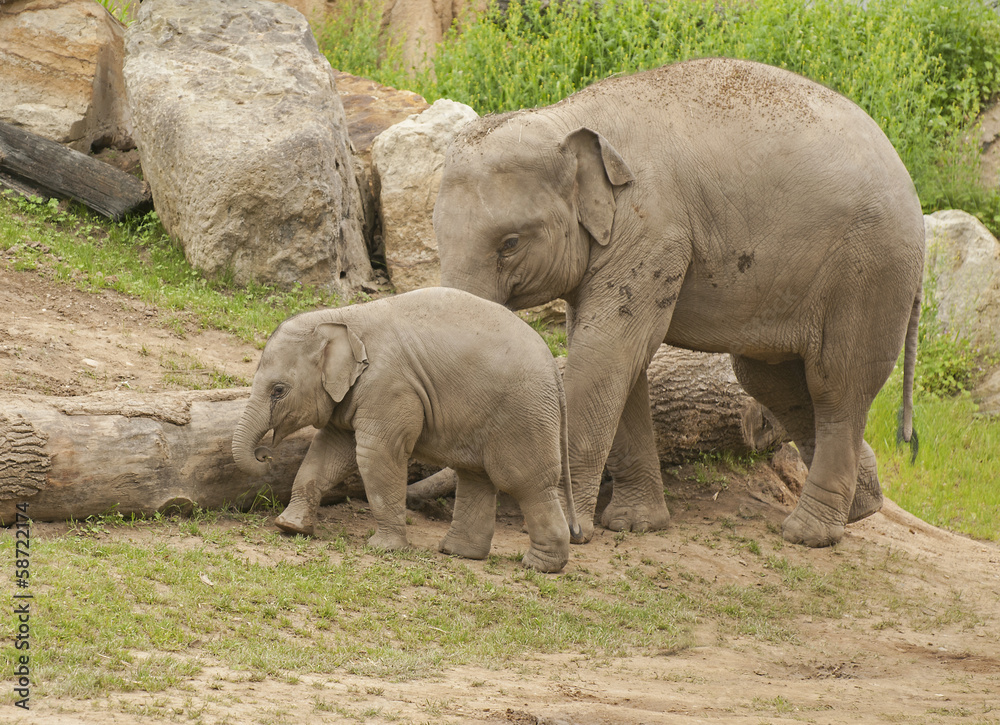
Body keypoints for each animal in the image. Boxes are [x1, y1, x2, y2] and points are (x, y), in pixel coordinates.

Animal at [232, 287, 581, 573]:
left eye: (278, 390)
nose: (265, 455)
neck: (343, 316)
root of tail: (554, 366)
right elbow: (327, 452)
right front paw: (290, 528)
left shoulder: (389, 386)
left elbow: (375, 454)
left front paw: (383, 548)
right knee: (475, 475)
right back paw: (458, 553)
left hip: (523, 414)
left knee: (524, 481)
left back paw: (540, 566)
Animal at [432, 57, 923, 548]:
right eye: (436, 235)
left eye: (510, 243)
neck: (567, 116)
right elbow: (623, 361)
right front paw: (635, 525)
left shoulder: (652, 229)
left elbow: (606, 352)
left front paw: (573, 532)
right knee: (773, 383)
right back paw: (863, 507)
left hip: (870, 270)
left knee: (835, 385)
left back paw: (809, 534)